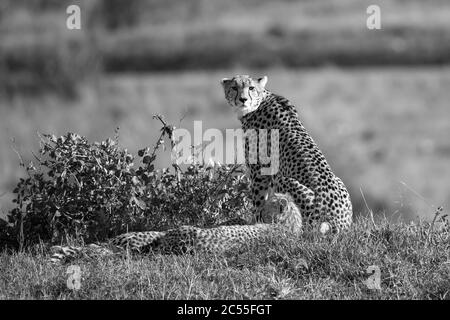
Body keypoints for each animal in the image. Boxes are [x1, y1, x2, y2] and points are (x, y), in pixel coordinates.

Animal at [221, 74, 352, 232]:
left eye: (251, 88)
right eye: (234, 88)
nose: (243, 99)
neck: (259, 102)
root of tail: (340, 223)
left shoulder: (259, 170)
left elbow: (258, 200)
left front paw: (256, 221)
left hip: (284, 182)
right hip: (339, 182)